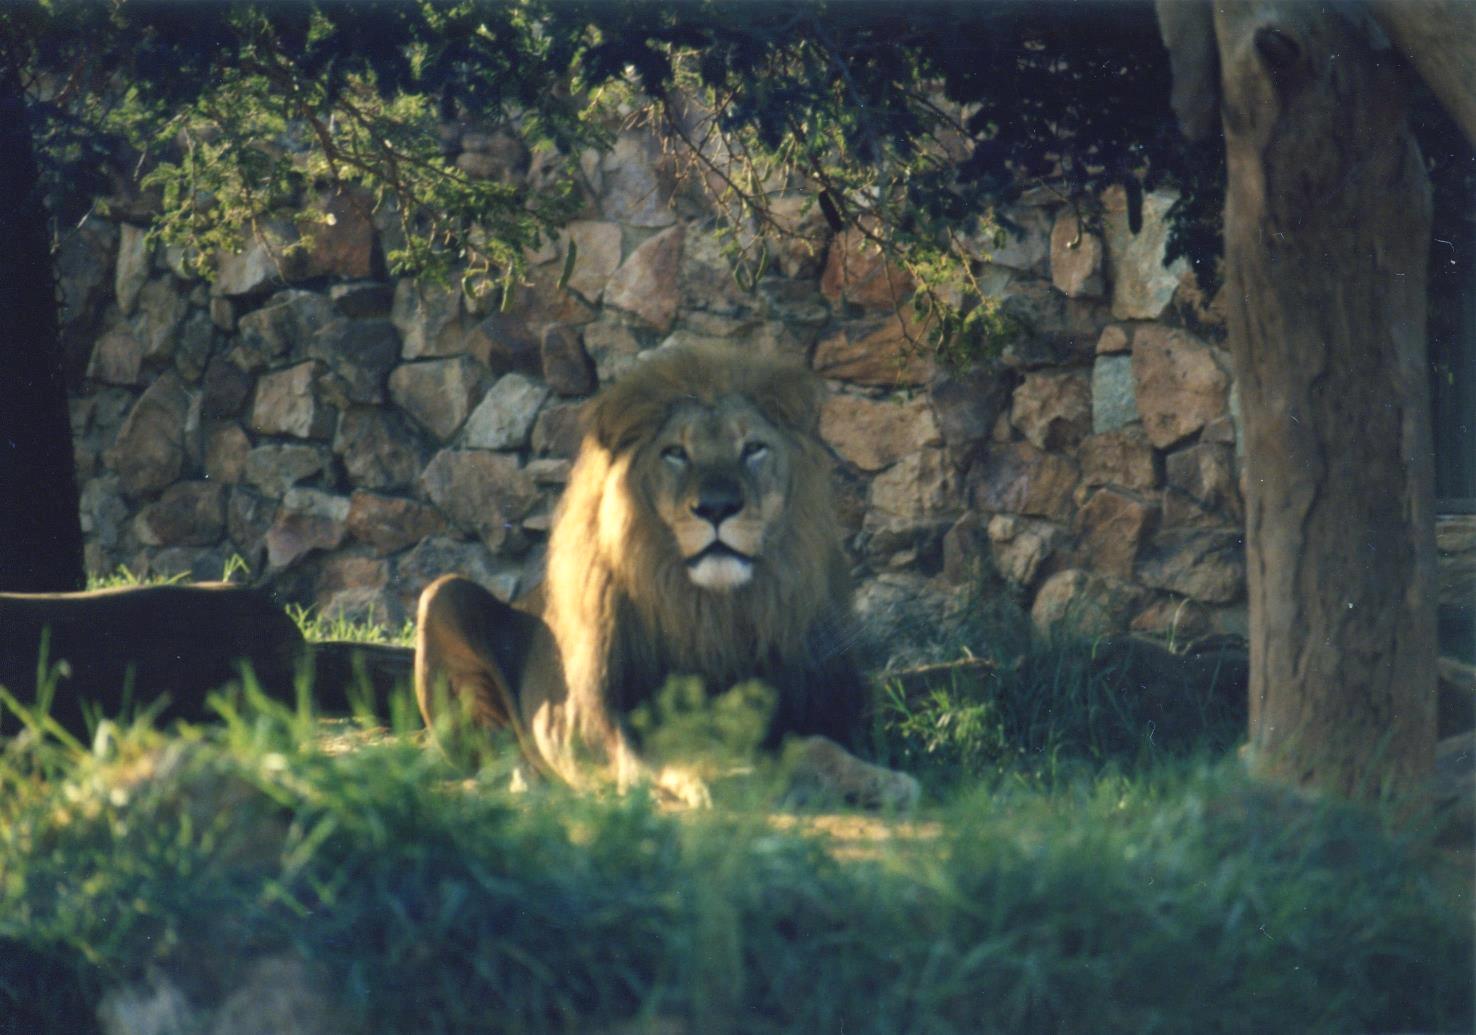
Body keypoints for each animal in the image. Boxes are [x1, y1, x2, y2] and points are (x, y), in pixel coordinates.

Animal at [415, 344, 918, 809]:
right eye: (675, 453)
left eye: (753, 448)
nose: (716, 506)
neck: (716, 615)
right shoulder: (629, 729)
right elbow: (690, 748)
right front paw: (730, 777)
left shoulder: (800, 713)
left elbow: (820, 747)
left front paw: (881, 779)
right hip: (442, 594)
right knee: (487, 752)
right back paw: (523, 780)